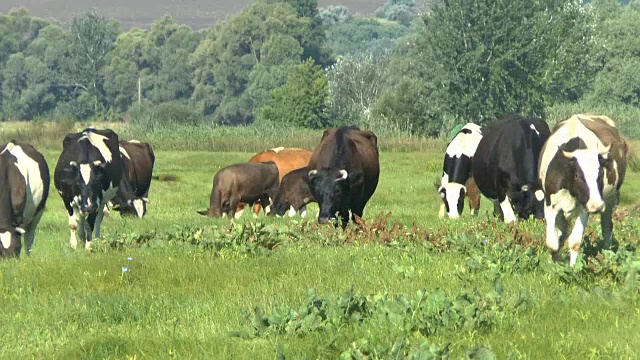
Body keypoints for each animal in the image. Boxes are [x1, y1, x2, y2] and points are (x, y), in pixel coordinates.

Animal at [536, 114, 628, 266]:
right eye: (577, 175)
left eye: (600, 173)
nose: (597, 206)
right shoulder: (550, 205)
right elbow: (552, 242)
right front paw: (556, 263)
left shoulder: (585, 207)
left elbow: (575, 242)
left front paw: (572, 268)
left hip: (610, 200)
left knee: (607, 226)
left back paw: (607, 254)